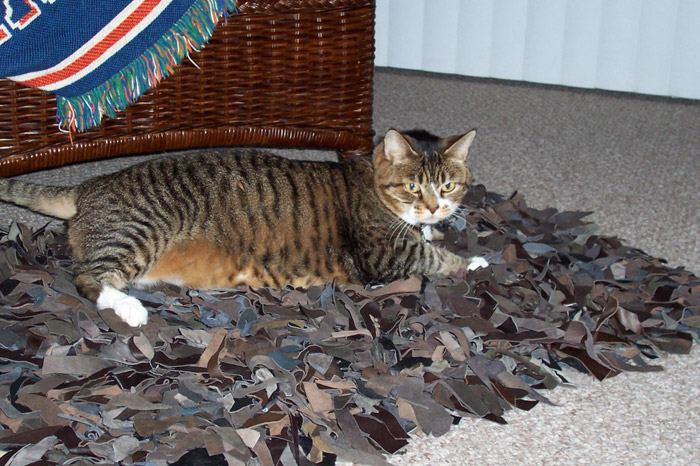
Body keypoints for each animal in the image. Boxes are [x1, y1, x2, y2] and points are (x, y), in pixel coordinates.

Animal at [1, 130, 486, 328]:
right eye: (412, 186)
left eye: (448, 185)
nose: (434, 207)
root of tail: (89, 185)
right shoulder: (382, 254)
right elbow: (435, 257)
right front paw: (476, 261)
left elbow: (432, 243)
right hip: (138, 230)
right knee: (88, 278)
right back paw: (131, 309)